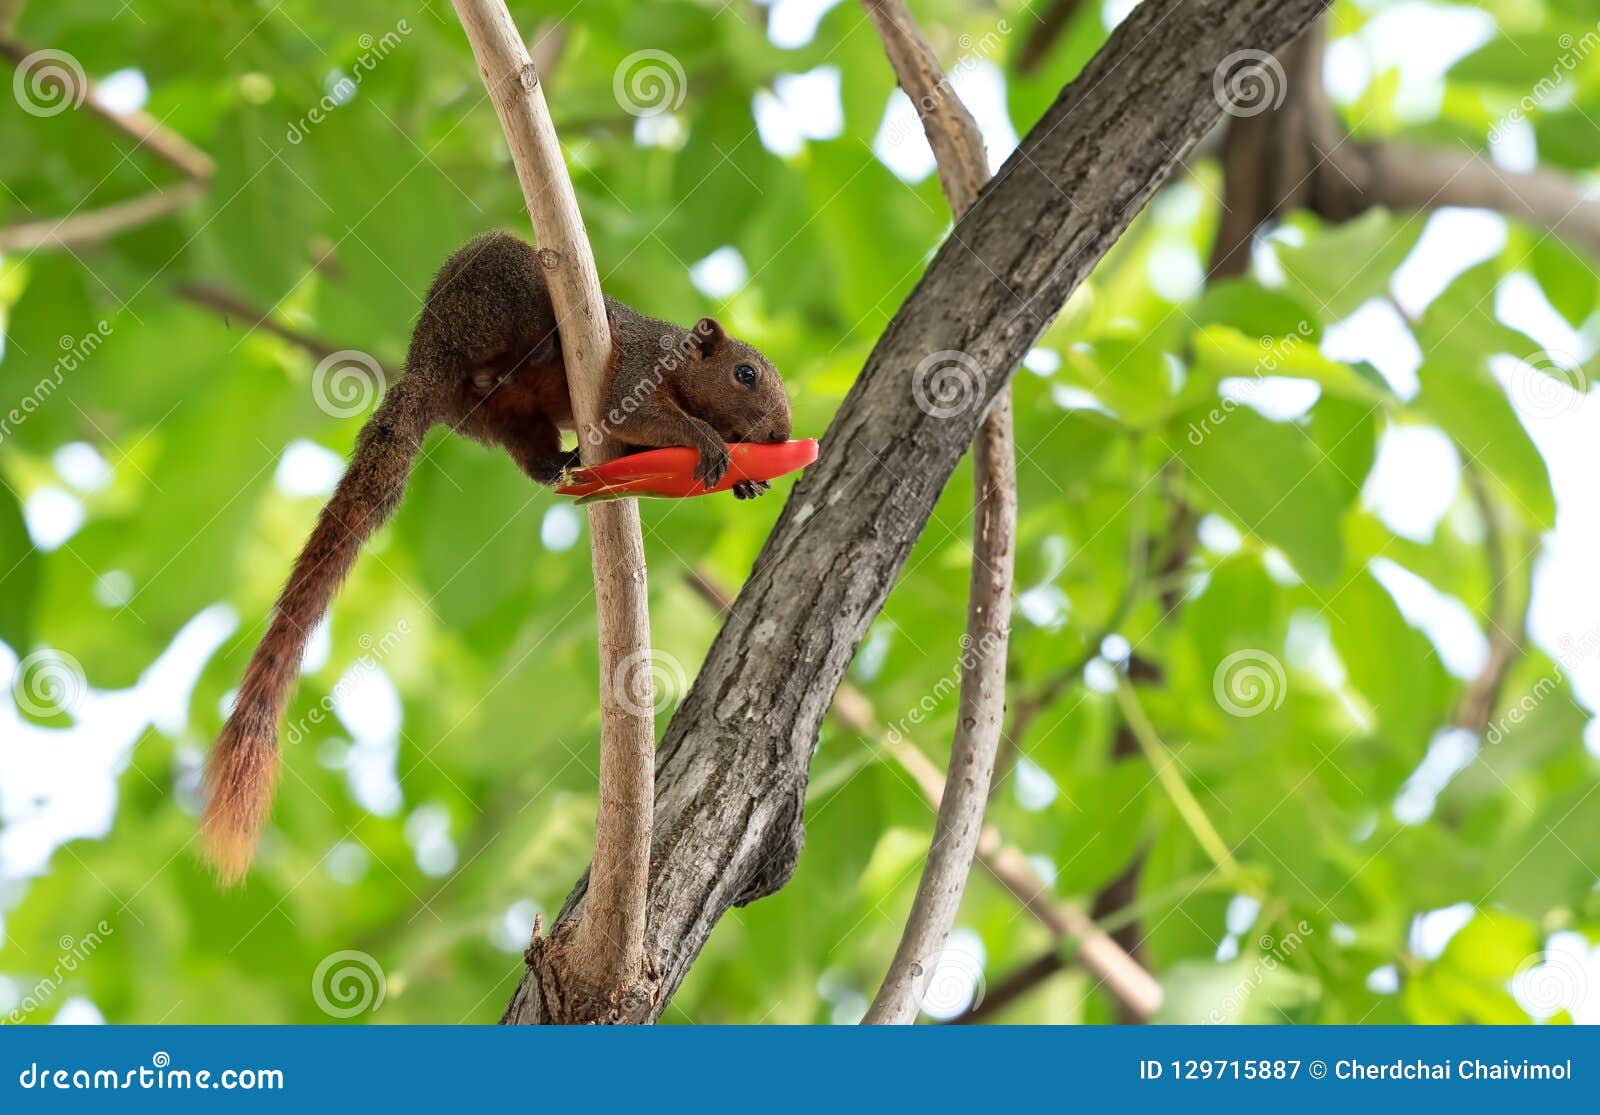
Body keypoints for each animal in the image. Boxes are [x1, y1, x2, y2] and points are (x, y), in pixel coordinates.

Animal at [200, 230, 792, 882]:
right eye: (744, 374)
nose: (780, 436)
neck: (681, 365)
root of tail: (424, 360)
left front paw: (747, 481)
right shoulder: (639, 365)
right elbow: (640, 413)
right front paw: (709, 442)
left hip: (498, 415)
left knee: (528, 450)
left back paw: (562, 458)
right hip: (499, 290)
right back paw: (545, 343)